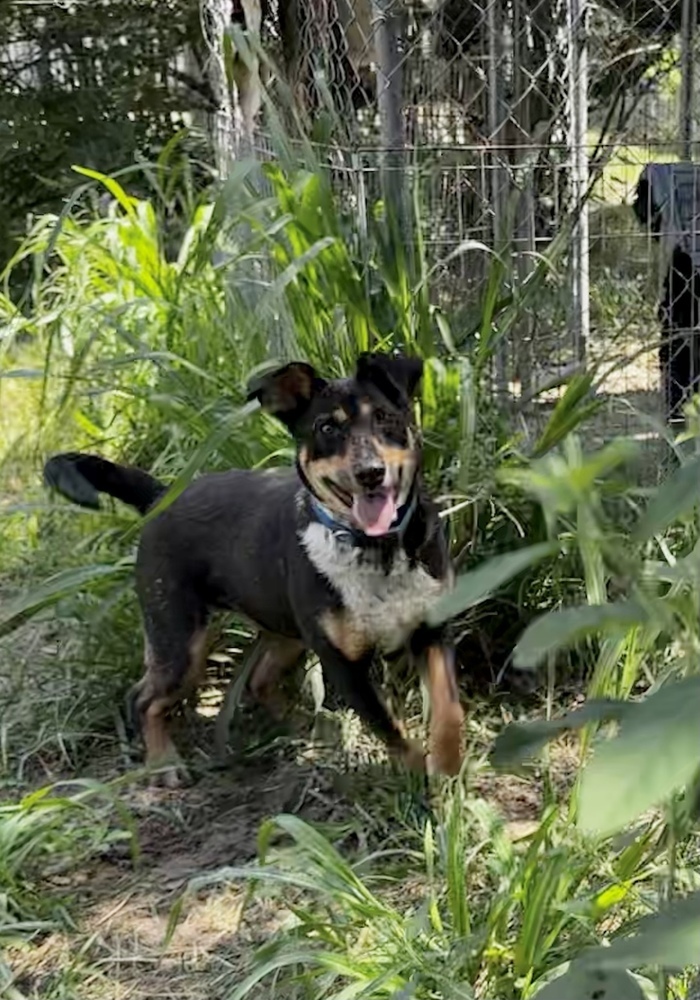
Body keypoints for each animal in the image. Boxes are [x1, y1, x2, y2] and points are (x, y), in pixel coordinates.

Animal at [43, 356, 464, 784]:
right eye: (326, 428)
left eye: (384, 416)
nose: (370, 472)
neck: (378, 549)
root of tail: (161, 495)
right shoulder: (343, 665)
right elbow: (389, 728)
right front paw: (419, 778)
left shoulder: (432, 628)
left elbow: (449, 708)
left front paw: (448, 769)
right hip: (179, 639)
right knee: (142, 698)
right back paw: (164, 762)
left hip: (282, 629)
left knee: (258, 679)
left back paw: (301, 725)